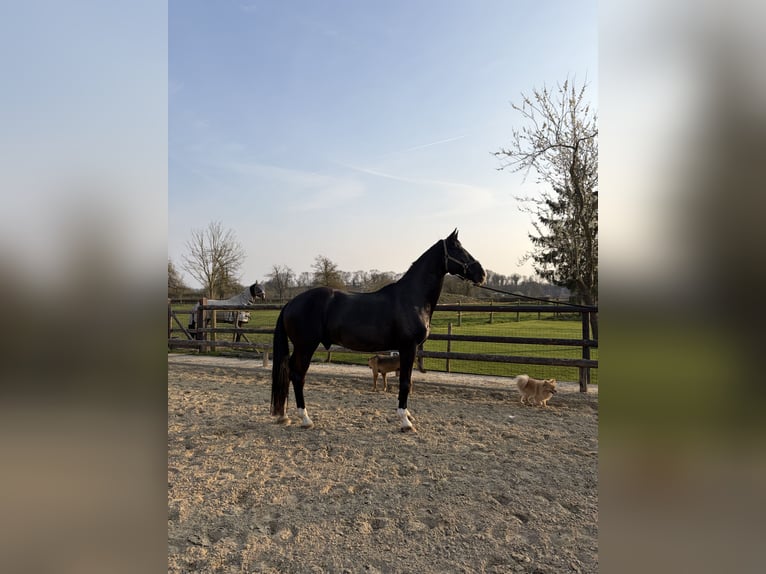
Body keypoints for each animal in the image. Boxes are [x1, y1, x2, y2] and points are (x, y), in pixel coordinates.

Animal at [271, 229, 486, 432]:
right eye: (458, 248)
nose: (482, 274)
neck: (411, 298)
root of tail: (291, 302)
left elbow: (407, 381)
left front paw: (407, 416)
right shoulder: (408, 347)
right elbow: (405, 383)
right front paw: (405, 422)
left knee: (288, 371)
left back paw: (284, 415)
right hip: (306, 346)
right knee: (298, 375)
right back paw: (305, 419)